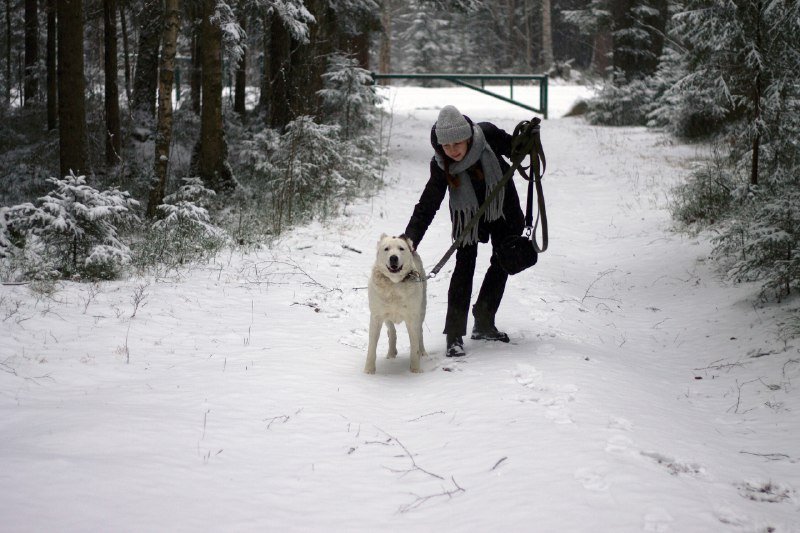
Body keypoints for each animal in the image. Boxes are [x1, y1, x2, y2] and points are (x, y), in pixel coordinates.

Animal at [366, 233, 428, 374]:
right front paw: (368, 371)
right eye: (386, 249)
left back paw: (423, 352)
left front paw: (415, 370)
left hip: (421, 310)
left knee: (420, 332)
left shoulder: (412, 317)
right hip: (386, 316)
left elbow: (414, 345)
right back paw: (391, 353)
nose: (393, 258)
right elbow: (371, 346)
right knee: (391, 331)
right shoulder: (376, 317)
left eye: (401, 248)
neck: (394, 284)